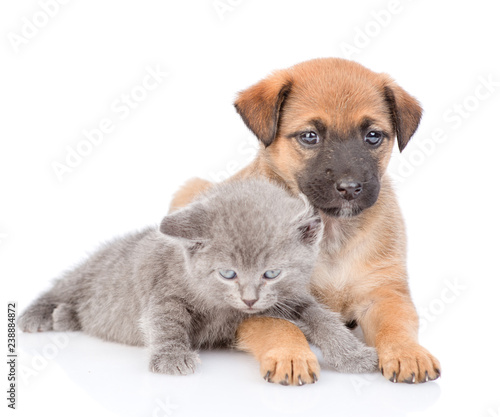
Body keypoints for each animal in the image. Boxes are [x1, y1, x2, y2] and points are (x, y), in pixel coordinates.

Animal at [18, 179, 378, 376]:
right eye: (228, 273)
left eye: (271, 273)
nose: (250, 299)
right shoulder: (162, 288)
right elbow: (166, 320)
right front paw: (172, 357)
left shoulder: (289, 298)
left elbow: (321, 316)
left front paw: (352, 355)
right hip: (91, 272)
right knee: (63, 286)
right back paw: (40, 315)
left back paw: (65, 317)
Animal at [169, 57, 442, 384]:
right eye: (310, 136)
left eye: (373, 136)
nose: (349, 188)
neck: (331, 234)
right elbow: (280, 326)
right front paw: (291, 356)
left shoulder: (385, 291)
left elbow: (396, 323)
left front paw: (408, 353)